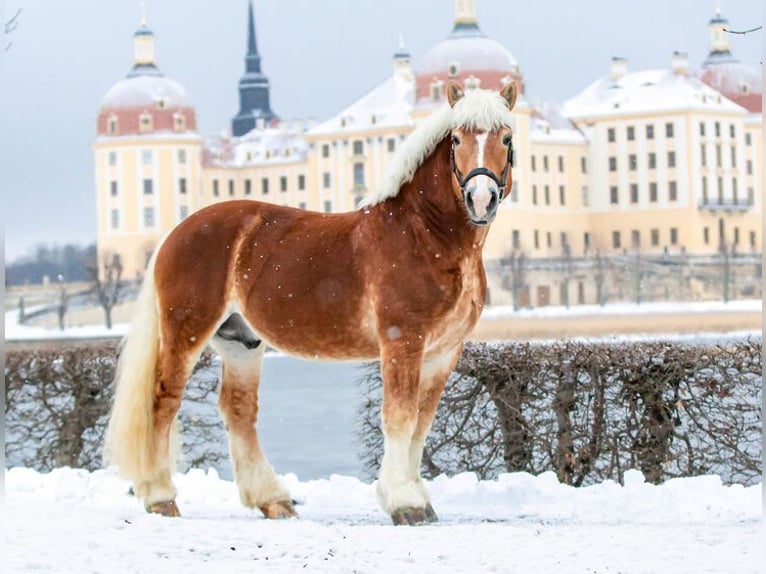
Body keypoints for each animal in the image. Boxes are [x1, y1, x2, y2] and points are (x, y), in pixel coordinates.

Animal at [105, 80, 518, 526]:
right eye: (457, 139)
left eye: (507, 138)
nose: (481, 198)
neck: (424, 234)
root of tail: (174, 234)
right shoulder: (402, 341)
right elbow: (400, 417)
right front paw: (403, 501)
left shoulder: (443, 352)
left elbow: (422, 423)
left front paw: (419, 499)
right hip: (186, 333)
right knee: (164, 401)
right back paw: (160, 497)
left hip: (240, 342)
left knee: (238, 410)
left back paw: (273, 500)